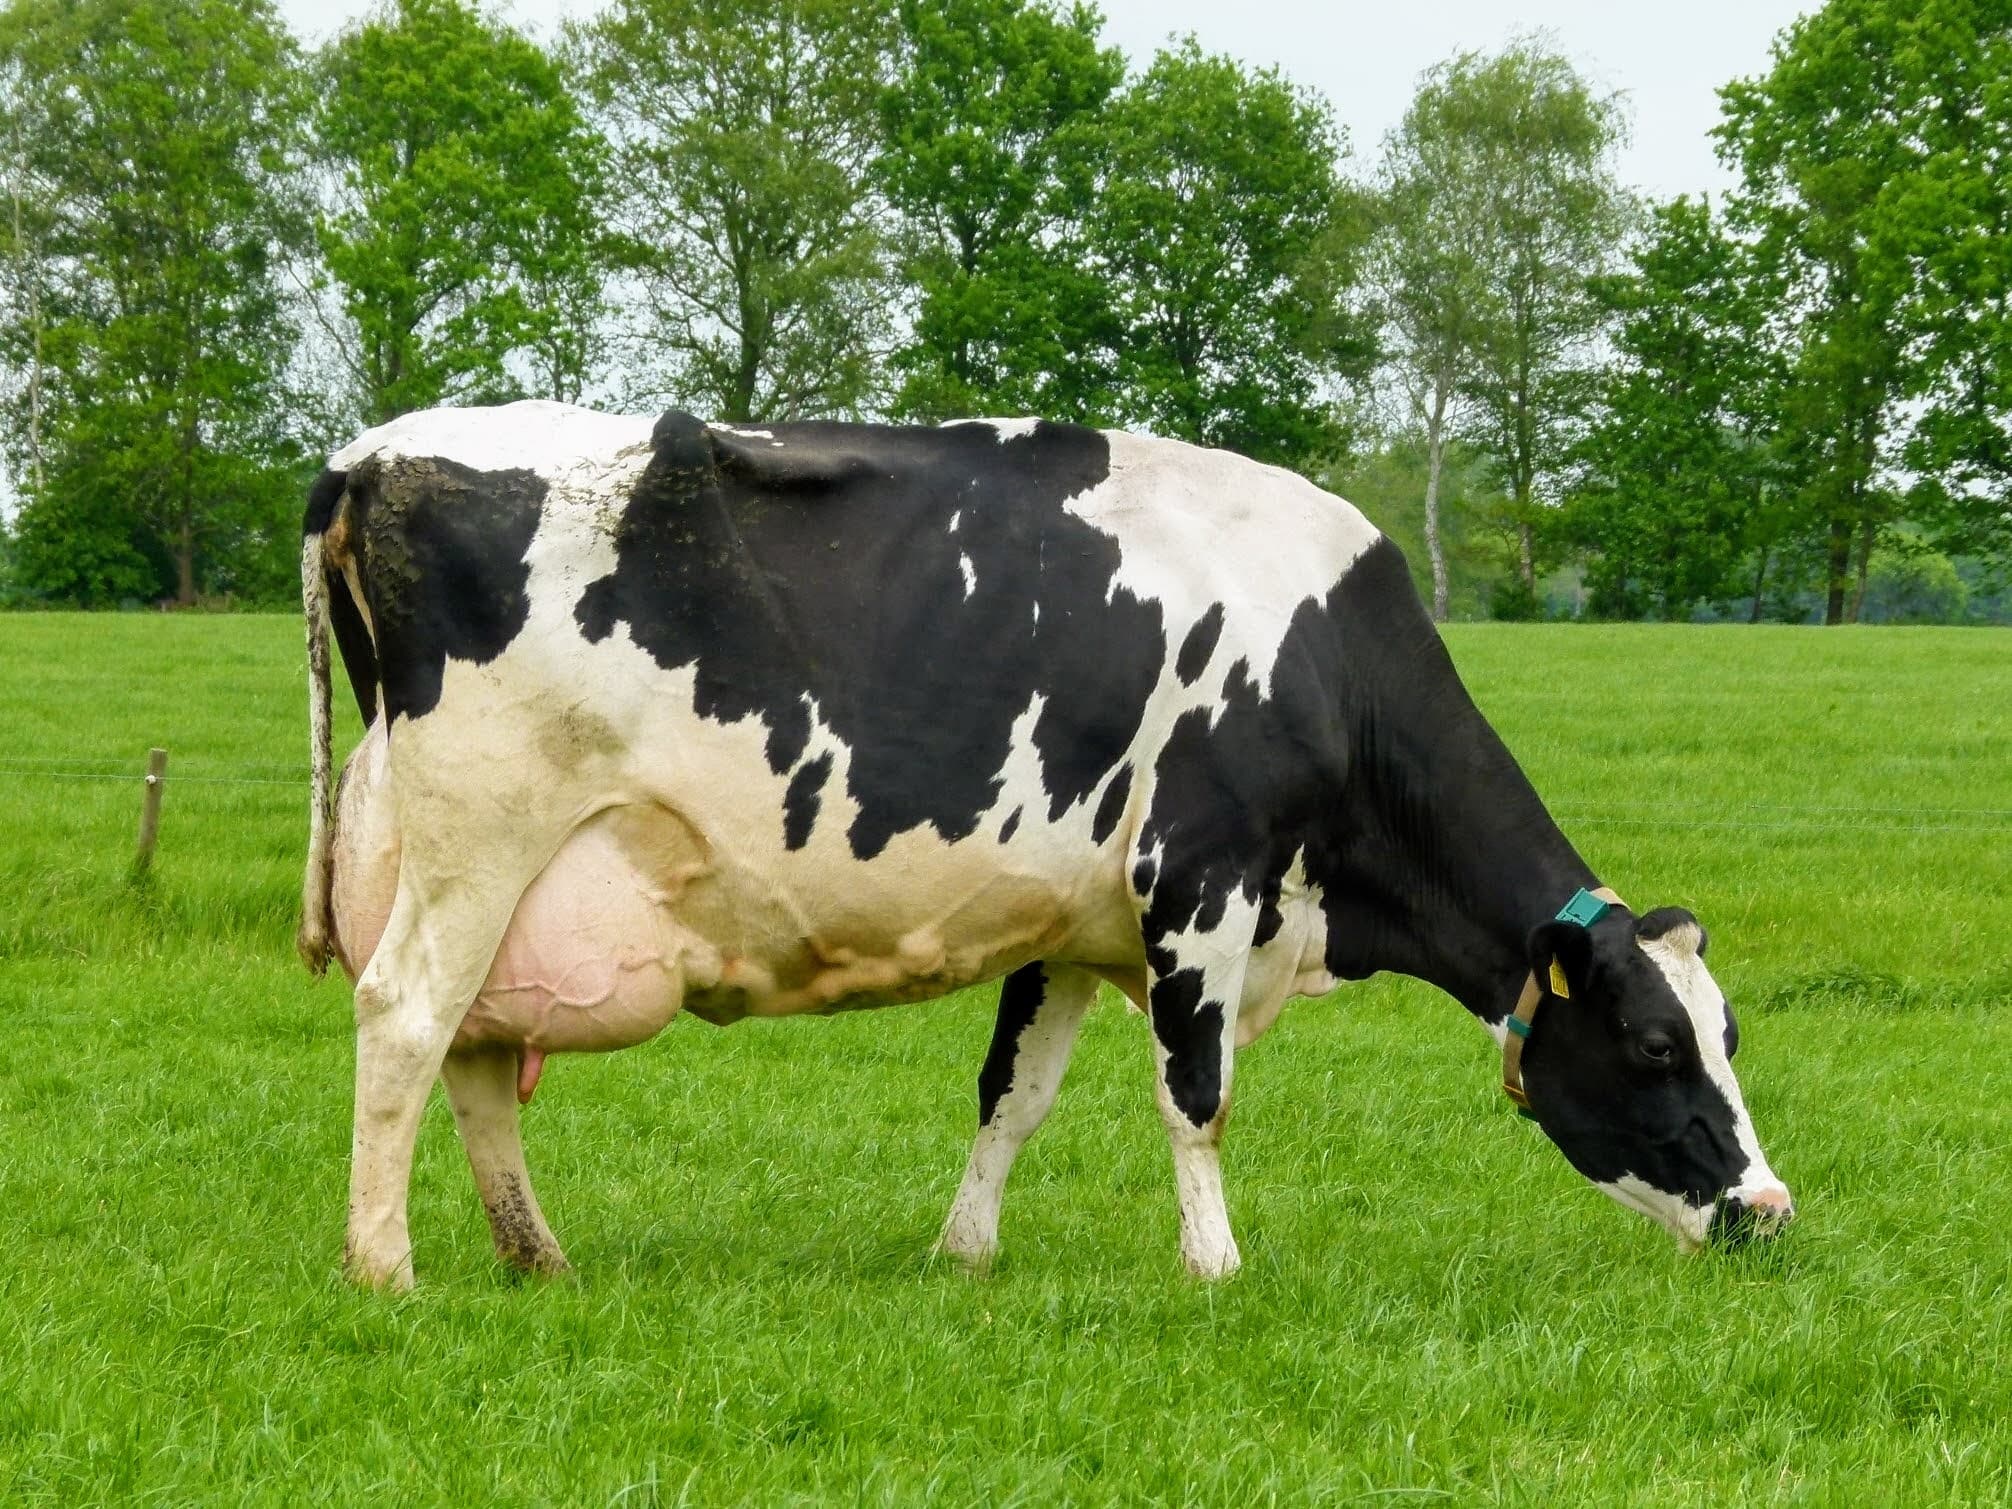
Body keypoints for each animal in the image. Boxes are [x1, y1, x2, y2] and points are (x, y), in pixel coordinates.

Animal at [299, 400, 1792, 1291]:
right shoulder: (1198, 883)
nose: (1770, 1210)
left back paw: (536, 1257)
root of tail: (372, 450)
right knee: (407, 1021)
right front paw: (1216, 1266)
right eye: (1652, 1047)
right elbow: (1197, 1097)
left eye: (1727, 1034)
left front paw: (964, 1252)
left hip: (508, 875)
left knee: (477, 1054)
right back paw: (384, 1268)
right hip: (479, 836)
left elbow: (1011, 1093)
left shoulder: (1074, 921)